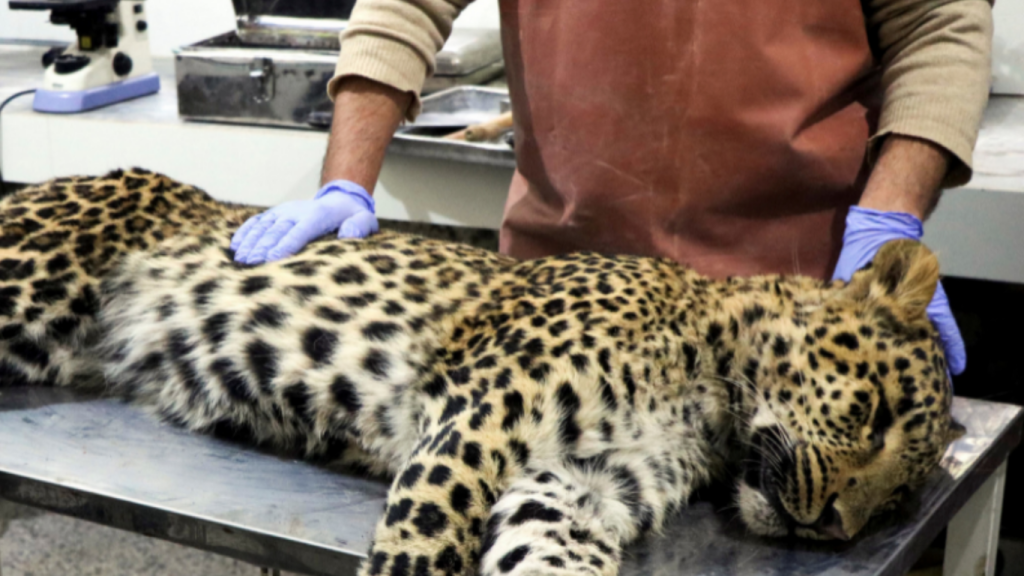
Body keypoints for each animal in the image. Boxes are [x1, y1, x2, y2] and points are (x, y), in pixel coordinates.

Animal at [0, 169, 964, 576]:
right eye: (874, 412)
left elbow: (551, 560)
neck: (711, 398)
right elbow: (424, 545)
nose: (834, 527)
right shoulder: (478, 421)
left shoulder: (578, 485)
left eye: (899, 505)